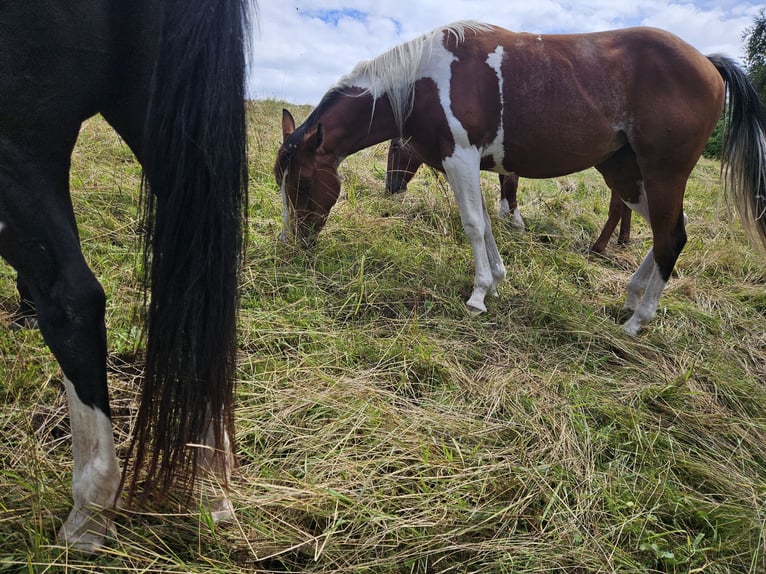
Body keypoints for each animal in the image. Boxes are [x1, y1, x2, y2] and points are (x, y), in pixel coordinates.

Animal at [385, 137, 633, 252]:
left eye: (396, 148)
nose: (390, 188)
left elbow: (510, 185)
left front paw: (516, 223)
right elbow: (504, 183)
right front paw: (505, 217)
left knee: (618, 206)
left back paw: (599, 247)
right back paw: (622, 240)